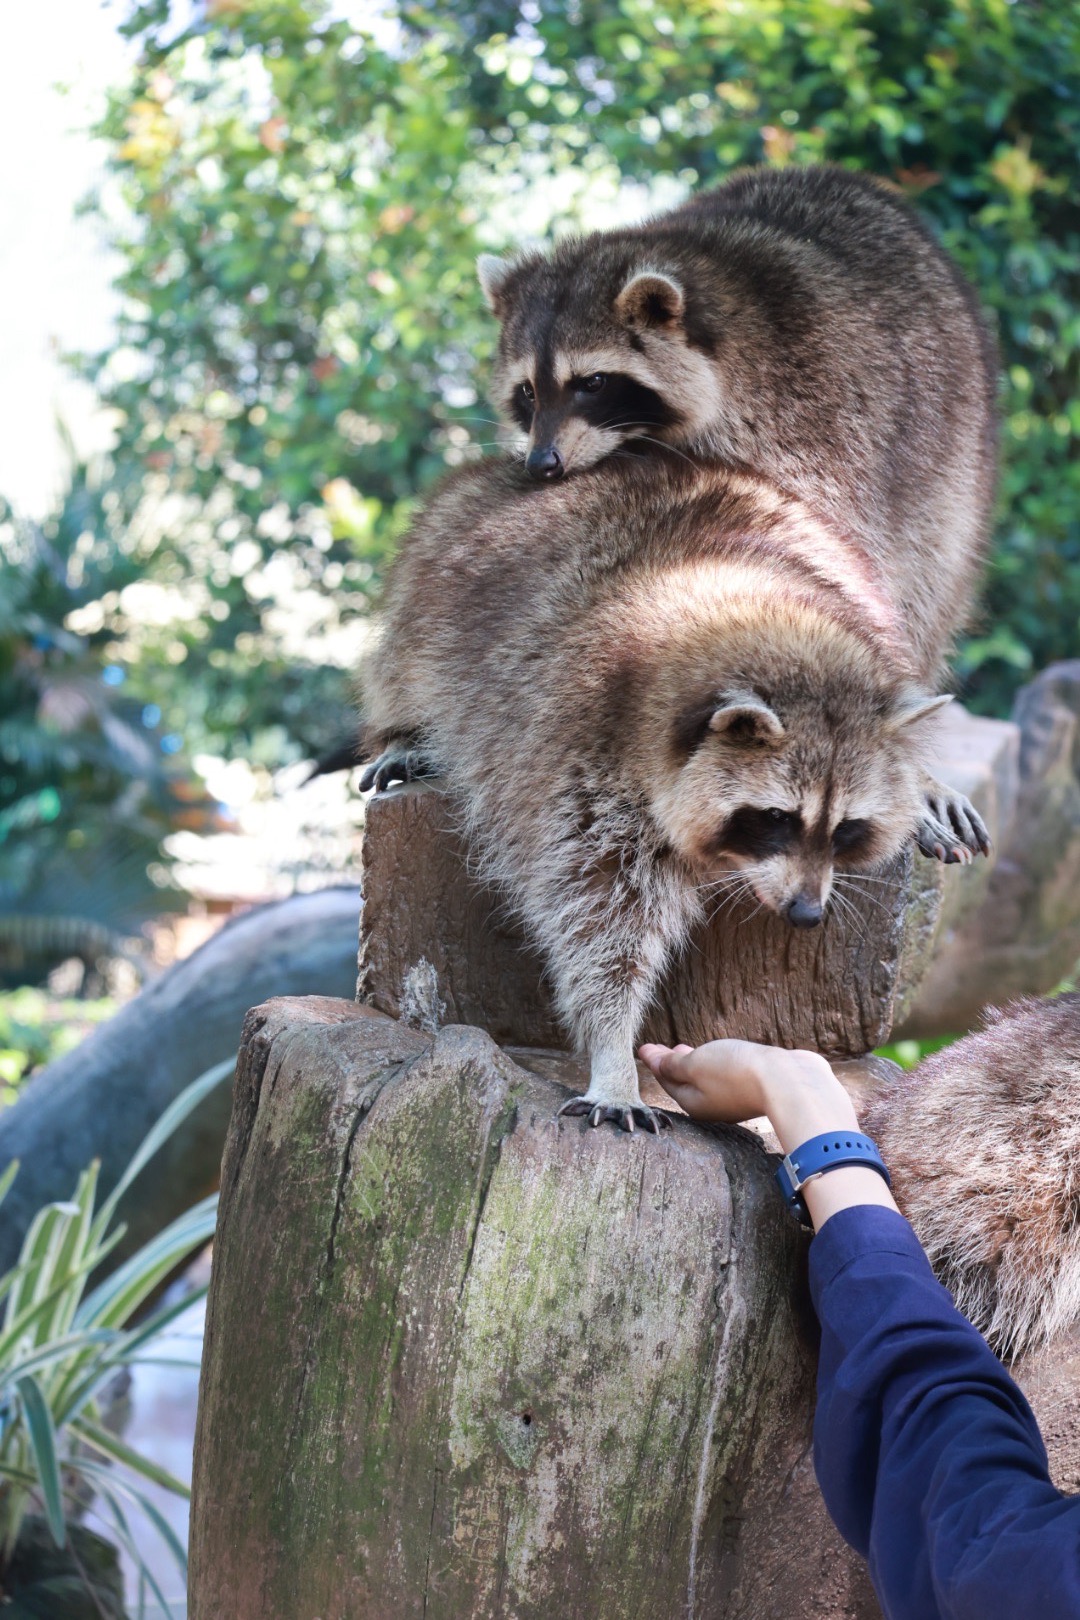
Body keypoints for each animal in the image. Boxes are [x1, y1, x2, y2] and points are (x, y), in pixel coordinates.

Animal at [361, 450, 990, 1134]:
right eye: (777, 818)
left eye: (845, 828)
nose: (806, 914)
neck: (758, 608)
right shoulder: (576, 757)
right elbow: (599, 918)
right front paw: (613, 1051)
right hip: (432, 579)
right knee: (406, 657)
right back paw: (405, 729)